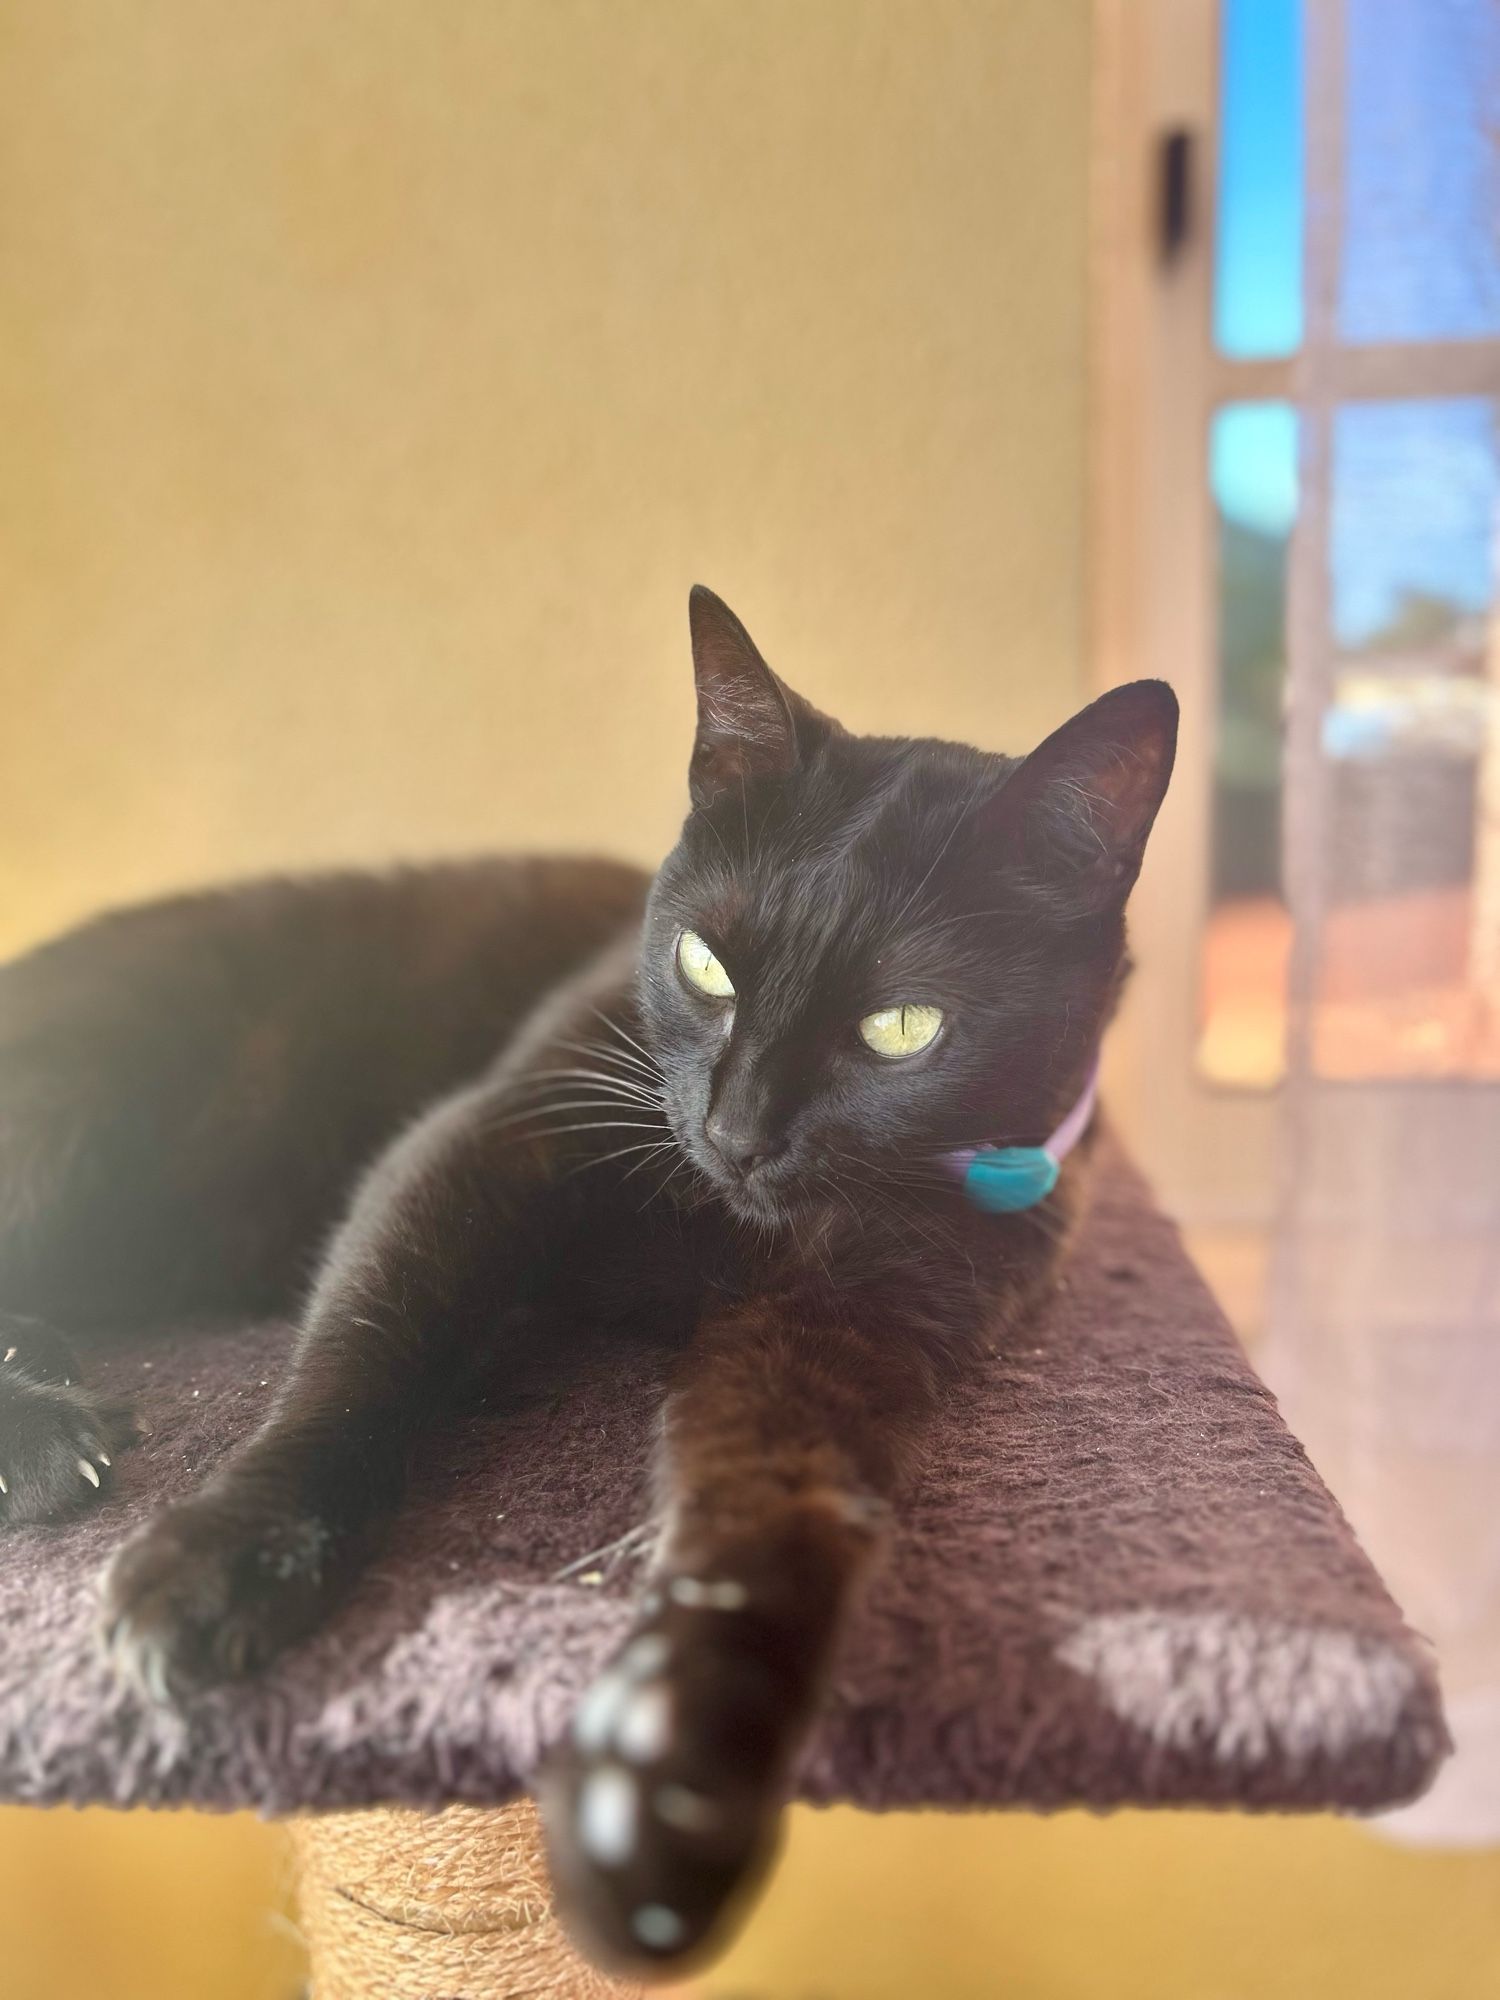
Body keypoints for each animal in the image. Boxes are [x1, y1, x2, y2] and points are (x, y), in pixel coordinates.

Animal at [0, 584, 1176, 1976]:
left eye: (904, 1028)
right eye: (706, 965)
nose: (737, 1128)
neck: (726, 1223)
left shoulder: (852, 1321)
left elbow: (774, 1510)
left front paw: (673, 1789)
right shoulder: (483, 1142)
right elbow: (363, 1357)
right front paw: (221, 1559)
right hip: (74, 1112)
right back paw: (44, 1435)